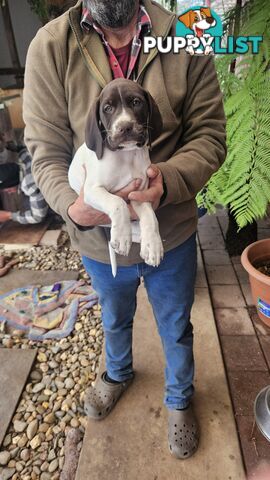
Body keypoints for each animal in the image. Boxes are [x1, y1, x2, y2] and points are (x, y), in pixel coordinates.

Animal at [68, 79, 163, 278]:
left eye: (136, 102)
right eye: (108, 108)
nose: (125, 126)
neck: (126, 155)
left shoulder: (138, 194)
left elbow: (150, 217)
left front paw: (153, 245)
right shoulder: (92, 190)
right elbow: (118, 203)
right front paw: (121, 237)